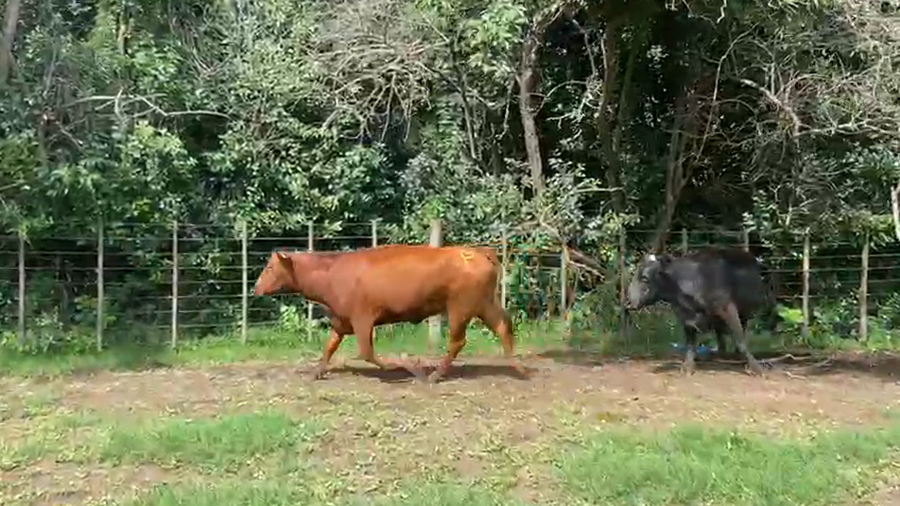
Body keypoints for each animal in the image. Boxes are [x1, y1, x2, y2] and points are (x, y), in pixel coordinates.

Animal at [252, 244, 529, 383]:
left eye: (270, 267)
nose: (255, 288)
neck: (331, 272)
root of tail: (480, 251)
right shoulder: (341, 321)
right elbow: (329, 347)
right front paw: (316, 372)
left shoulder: (363, 320)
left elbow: (367, 352)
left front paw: (399, 366)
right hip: (484, 304)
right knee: (503, 326)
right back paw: (519, 368)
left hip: (460, 308)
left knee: (458, 341)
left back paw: (435, 375)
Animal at [625, 247, 766, 376]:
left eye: (644, 278)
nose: (628, 303)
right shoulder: (685, 317)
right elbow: (690, 344)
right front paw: (687, 367)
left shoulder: (727, 308)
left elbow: (740, 340)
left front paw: (756, 369)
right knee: (720, 337)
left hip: (744, 313)